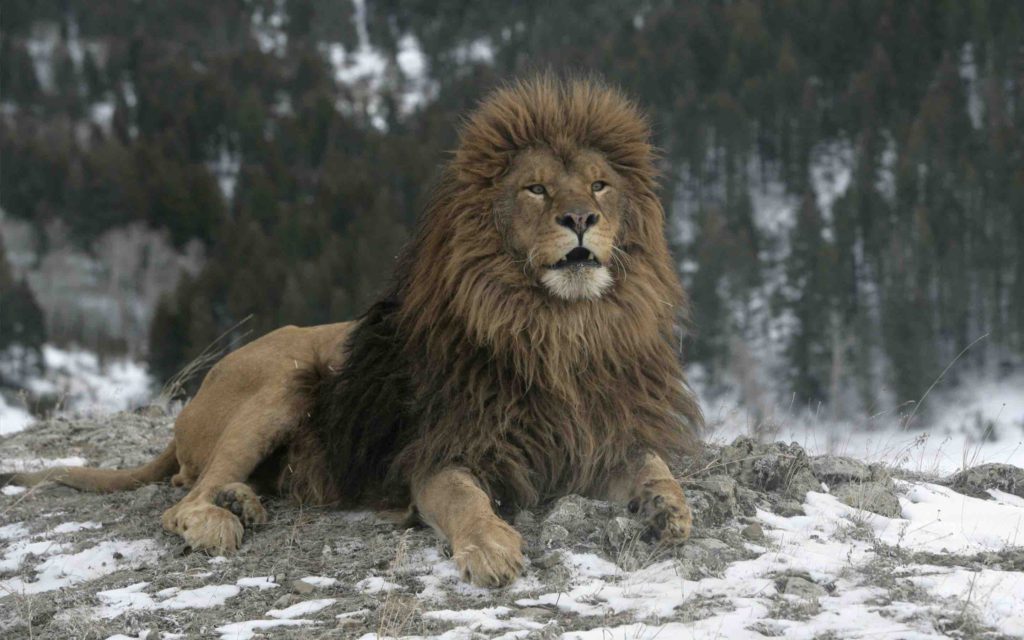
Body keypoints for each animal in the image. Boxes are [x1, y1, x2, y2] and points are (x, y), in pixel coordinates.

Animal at [2, 75, 703, 587]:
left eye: (599, 185)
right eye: (535, 189)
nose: (580, 218)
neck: (558, 330)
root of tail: (188, 411)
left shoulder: (593, 438)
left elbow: (655, 466)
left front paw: (669, 510)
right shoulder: (435, 454)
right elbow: (464, 502)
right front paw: (491, 548)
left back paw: (244, 502)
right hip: (284, 381)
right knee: (182, 499)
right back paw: (220, 520)